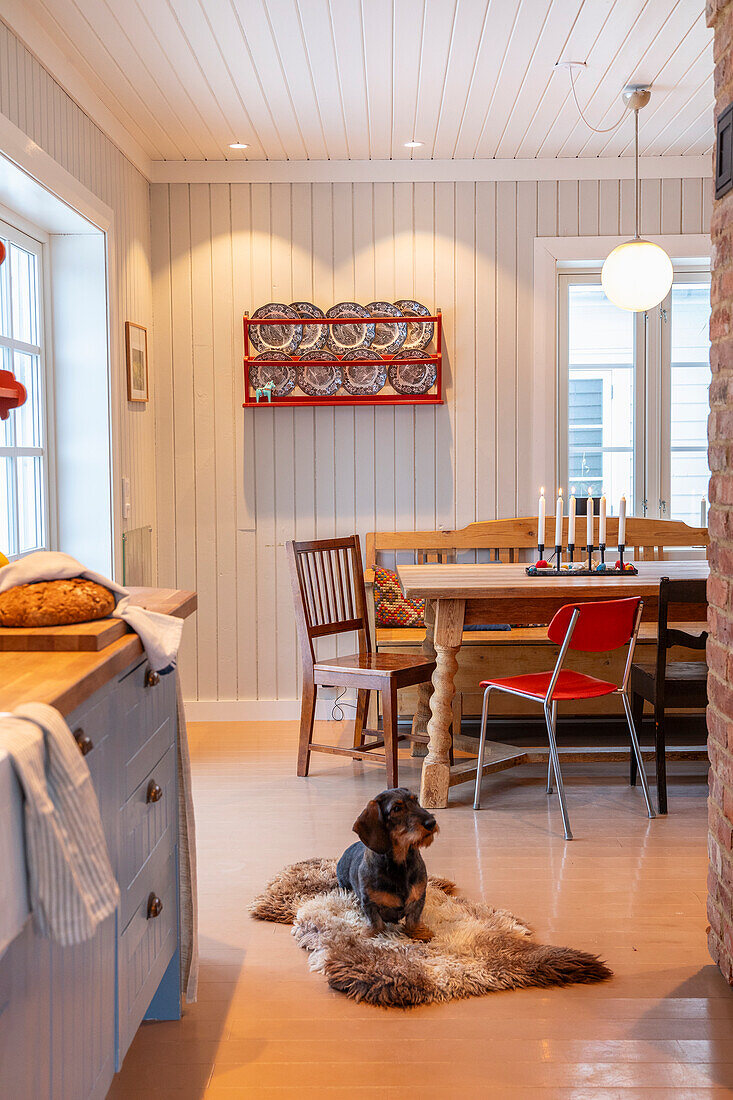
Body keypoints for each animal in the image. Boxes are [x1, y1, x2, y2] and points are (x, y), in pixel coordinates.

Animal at [334, 787, 435, 941]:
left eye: (416, 800)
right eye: (396, 808)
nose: (432, 822)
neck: (399, 864)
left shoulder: (418, 898)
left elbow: (413, 919)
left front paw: (419, 932)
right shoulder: (370, 903)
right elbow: (376, 922)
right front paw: (371, 934)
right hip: (344, 885)